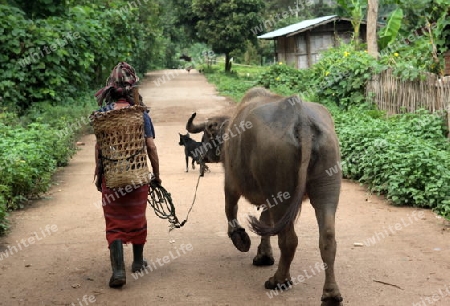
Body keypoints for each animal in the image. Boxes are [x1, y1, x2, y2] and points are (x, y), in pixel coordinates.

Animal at [185, 87, 342, 304]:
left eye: (208, 132)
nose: (202, 154)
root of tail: (300, 118)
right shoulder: (268, 196)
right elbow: (265, 221)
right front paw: (264, 255)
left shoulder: (232, 181)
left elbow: (230, 208)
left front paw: (241, 239)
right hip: (327, 184)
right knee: (327, 237)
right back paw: (331, 294)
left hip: (281, 192)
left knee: (289, 240)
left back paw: (279, 280)